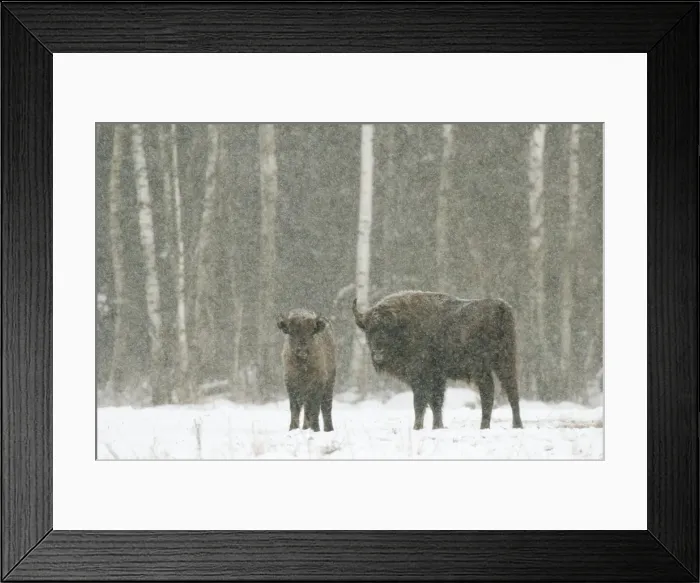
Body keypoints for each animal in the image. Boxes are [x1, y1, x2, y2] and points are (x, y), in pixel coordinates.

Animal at [352, 290, 523, 430]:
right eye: (369, 330)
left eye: (388, 330)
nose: (378, 354)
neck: (405, 326)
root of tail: (501, 307)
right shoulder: (437, 377)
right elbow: (436, 402)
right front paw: (438, 426)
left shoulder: (420, 376)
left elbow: (420, 402)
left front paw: (417, 427)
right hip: (504, 362)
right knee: (509, 391)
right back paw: (513, 425)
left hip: (485, 367)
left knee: (491, 392)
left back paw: (488, 426)